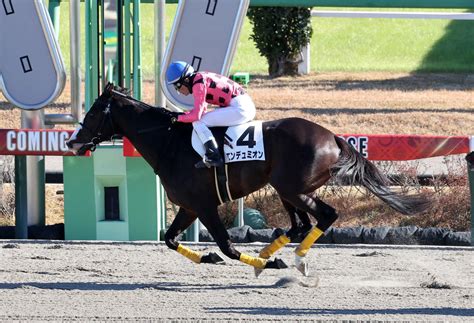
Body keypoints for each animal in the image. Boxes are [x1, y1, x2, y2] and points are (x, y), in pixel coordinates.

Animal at [67, 85, 434, 278]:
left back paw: (291, 256)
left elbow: (227, 246)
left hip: (293, 188)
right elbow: (170, 239)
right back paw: (275, 250)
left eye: (93, 113)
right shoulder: (189, 206)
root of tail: (332, 136)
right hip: (287, 189)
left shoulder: (204, 205)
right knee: (300, 224)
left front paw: (260, 263)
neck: (170, 142)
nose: (72, 142)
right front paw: (210, 258)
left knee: (325, 216)